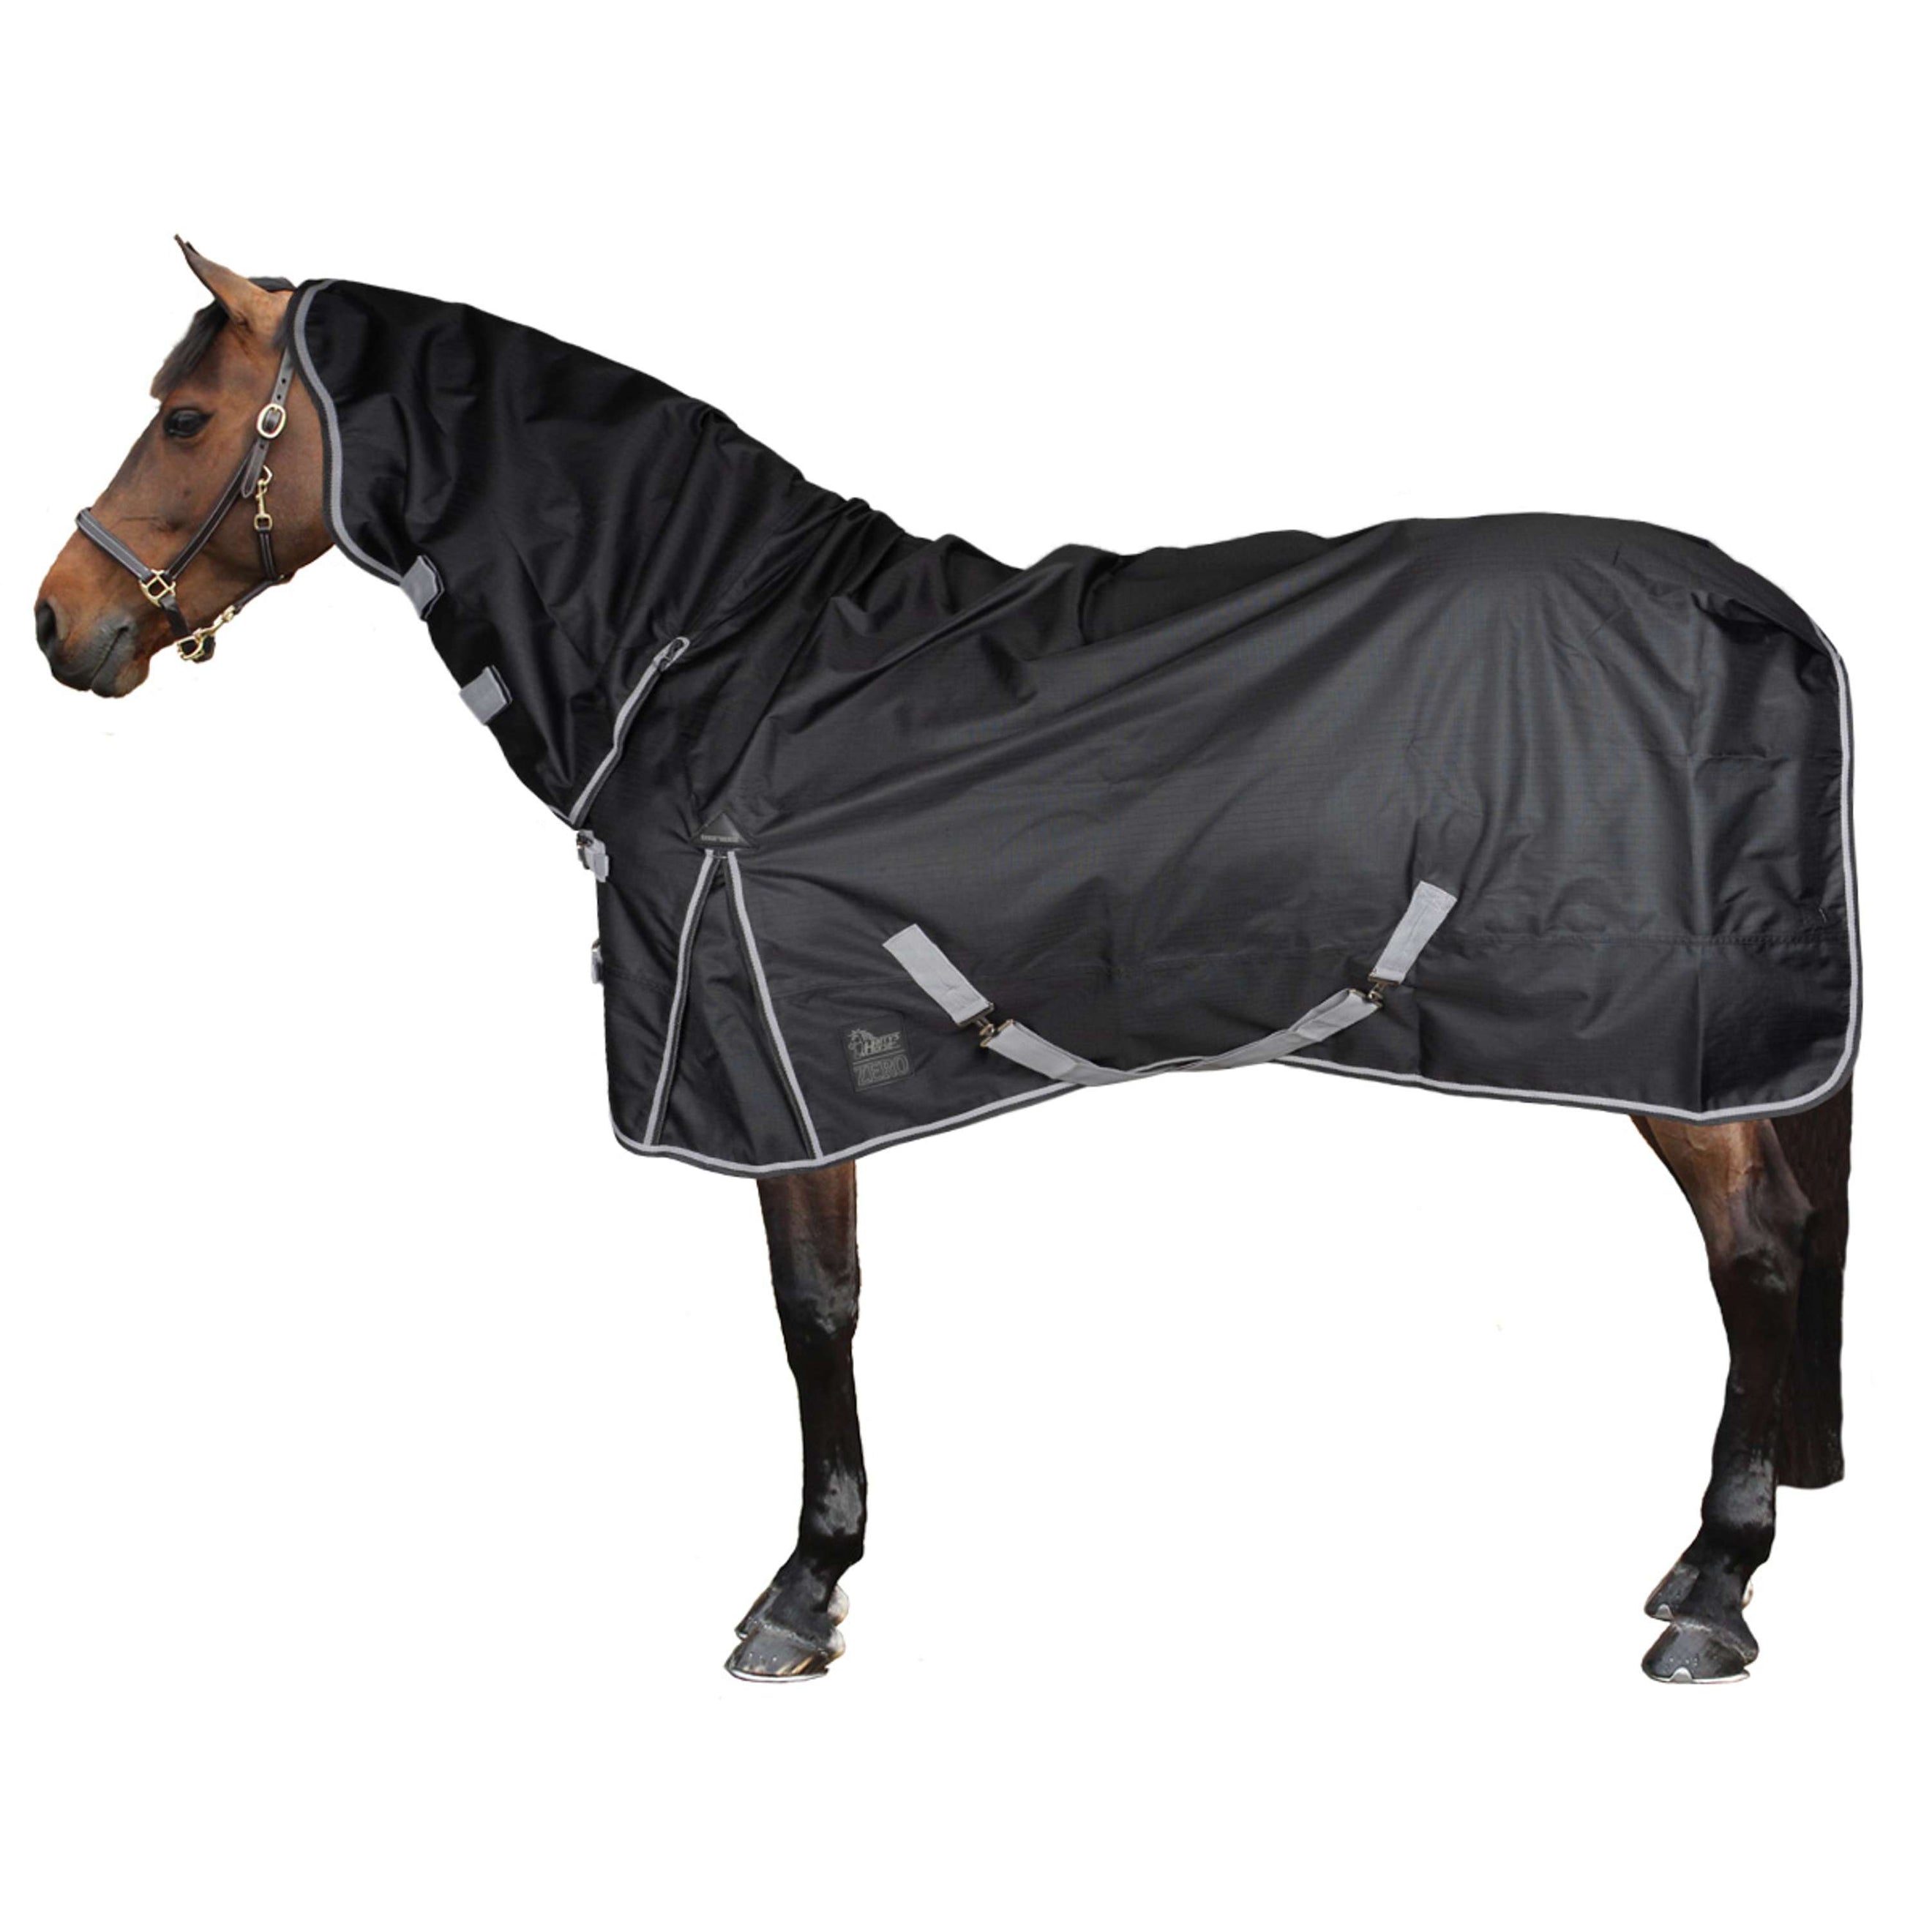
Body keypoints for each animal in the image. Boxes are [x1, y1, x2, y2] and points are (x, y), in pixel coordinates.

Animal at [35, 241, 1855, 1684]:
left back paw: (1715, 1591)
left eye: (186, 418)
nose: (61, 624)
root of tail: (1758, 605)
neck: (719, 651)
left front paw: (802, 1588)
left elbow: (814, 1312)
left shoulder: (774, 1061)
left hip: (1674, 1046)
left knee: (1758, 1252)